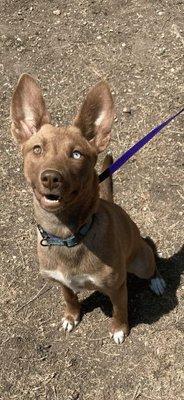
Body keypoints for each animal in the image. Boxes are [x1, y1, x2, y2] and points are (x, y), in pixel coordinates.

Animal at [10, 75, 166, 344]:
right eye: (37, 149)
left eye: (76, 154)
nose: (51, 178)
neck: (66, 235)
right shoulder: (61, 281)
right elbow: (69, 297)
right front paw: (71, 316)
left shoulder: (117, 287)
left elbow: (119, 310)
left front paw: (119, 329)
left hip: (140, 263)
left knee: (151, 258)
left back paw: (156, 281)